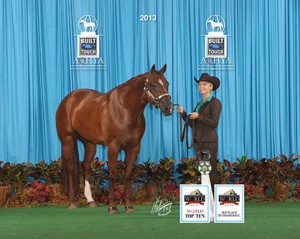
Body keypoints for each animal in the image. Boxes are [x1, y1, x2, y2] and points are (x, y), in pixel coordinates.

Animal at [55, 64, 173, 214]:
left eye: (167, 83)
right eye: (153, 85)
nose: (168, 108)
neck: (125, 110)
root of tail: (69, 99)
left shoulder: (134, 147)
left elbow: (127, 175)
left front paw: (128, 205)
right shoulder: (113, 147)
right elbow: (113, 174)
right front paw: (112, 206)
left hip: (90, 144)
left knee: (85, 166)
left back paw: (90, 200)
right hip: (67, 140)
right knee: (71, 168)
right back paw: (72, 202)